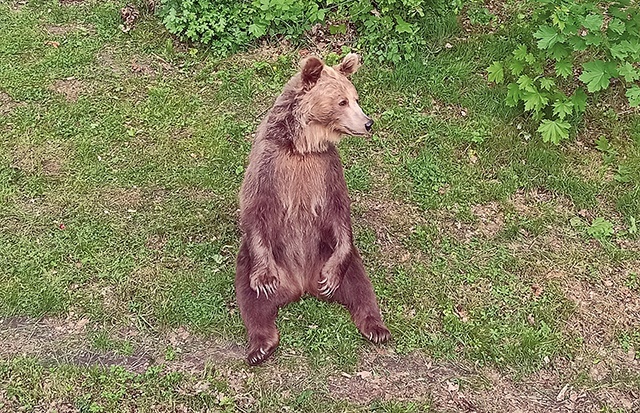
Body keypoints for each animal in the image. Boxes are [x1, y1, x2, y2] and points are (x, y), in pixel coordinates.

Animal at [235, 52, 390, 364]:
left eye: (356, 97)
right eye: (342, 101)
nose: (368, 123)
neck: (303, 146)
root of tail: (301, 285)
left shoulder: (326, 169)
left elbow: (339, 211)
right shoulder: (270, 163)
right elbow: (255, 206)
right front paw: (264, 280)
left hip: (331, 256)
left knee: (360, 285)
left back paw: (376, 327)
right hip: (259, 260)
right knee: (252, 298)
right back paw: (260, 345)